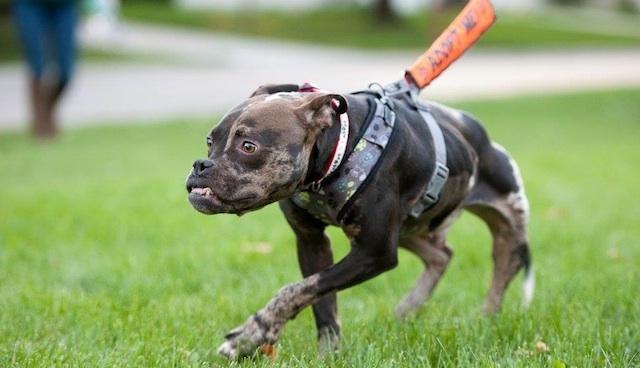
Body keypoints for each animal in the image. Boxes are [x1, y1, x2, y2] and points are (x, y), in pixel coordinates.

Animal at [186, 83, 536, 360]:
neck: (338, 151)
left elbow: (293, 291)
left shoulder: (374, 252)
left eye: (248, 146)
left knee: (502, 271)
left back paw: (486, 319)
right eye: (209, 141)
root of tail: (484, 139)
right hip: (407, 228)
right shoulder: (312, 242)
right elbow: (319, 299)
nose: (200, 164)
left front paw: (250, 335)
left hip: (508, 226)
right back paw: (409, 308)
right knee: (441, 254)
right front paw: (328, 355)